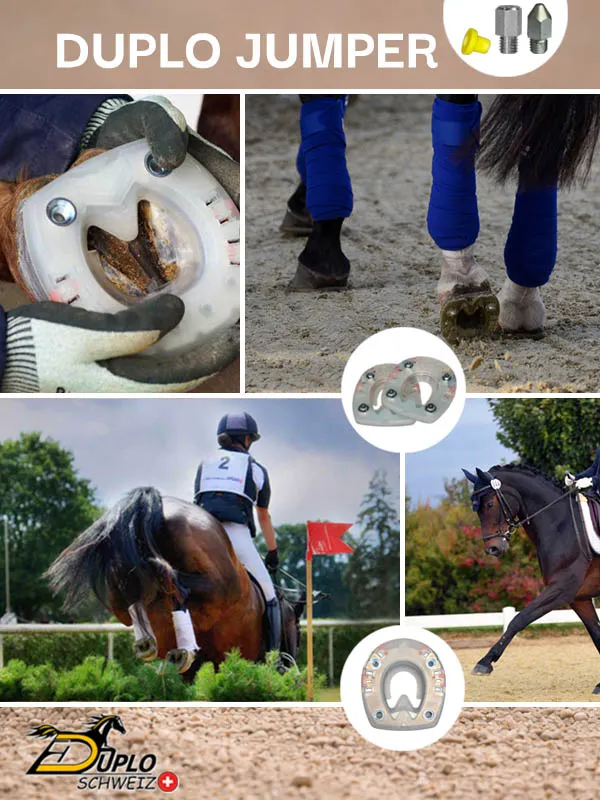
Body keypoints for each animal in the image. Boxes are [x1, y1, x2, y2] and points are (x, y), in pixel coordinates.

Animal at [46, 487, 303, 682]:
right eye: (298, 631)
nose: (291, 661)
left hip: (122, 593)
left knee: (129, 593)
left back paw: (151, 642)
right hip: (221, 585)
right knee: (175, 584)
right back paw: (181, 648)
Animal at [463, 464, 600, 694]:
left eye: (490, 504)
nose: (492, 549)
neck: (562, 526)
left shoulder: (561, 588)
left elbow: (518, 619)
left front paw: (485, 662)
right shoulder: (578, 598)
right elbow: (597, 634)